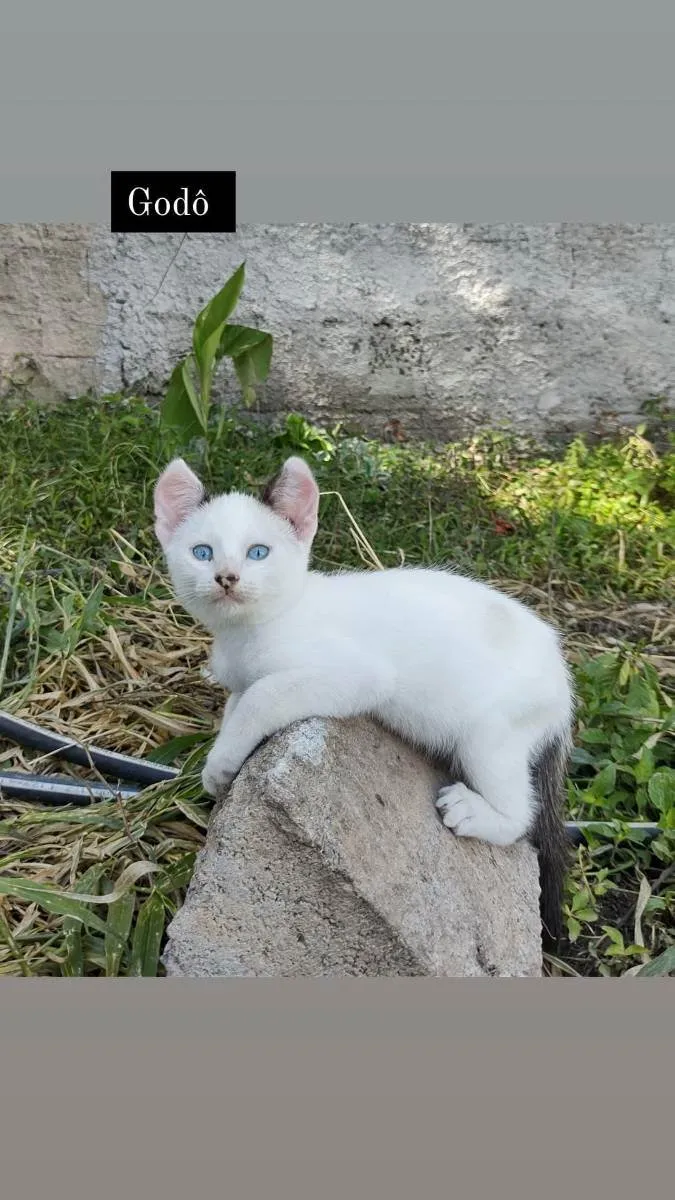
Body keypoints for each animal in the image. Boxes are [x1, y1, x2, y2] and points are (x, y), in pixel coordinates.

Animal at [154, 451, 569, 936]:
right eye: (202, 552)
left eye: (258, 552)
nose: (227, 577)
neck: (253, 630)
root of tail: (564, 686)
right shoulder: (240, 680)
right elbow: (237, 707)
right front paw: (219, 766)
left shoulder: (358, 675)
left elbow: (262, 697)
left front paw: (221, 764)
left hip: (492, 733)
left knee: (522, 817)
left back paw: (477, 813)